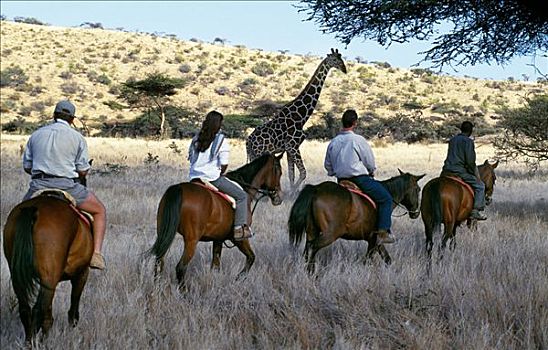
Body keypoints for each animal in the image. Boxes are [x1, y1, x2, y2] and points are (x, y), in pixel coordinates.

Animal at [2, 173, 93, 342]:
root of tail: (34, 209)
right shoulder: (82, 273)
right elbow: (73, 307)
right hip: (49, 278)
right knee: (39, 311)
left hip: (20, 275)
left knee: (26, 309)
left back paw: (29, 342)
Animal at [148, 152, 284, 288]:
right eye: (279, 171)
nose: (278, 198)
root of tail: (178, 188)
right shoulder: (240, 238)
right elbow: (251, 257)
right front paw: (237, 280)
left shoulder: (218, 238)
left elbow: (215, 265)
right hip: (191, 240)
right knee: (180, 267)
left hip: (164, 234)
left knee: (159, 261)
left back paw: (157, 287)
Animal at [245, 48, 344, 191]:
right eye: (335, 59)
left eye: (341, 58)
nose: (344, 69)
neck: (302, 117)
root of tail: (248, 142)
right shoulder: (293, 146)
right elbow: (303, 172)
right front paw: (294, 192)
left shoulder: (289, 148)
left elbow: (292, 174)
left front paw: (291, 191)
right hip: (259, 154)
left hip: (253, 155)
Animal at [288, 170, 426, 274]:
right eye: (418, 189)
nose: (415, 212)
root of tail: (316, 189)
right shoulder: (374, 240)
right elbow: (368, 260)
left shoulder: (374, 240)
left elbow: (387, 259)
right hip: (330, 234)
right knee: (313, 247)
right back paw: (311, 273)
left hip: (312, 231)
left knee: (307, 249)